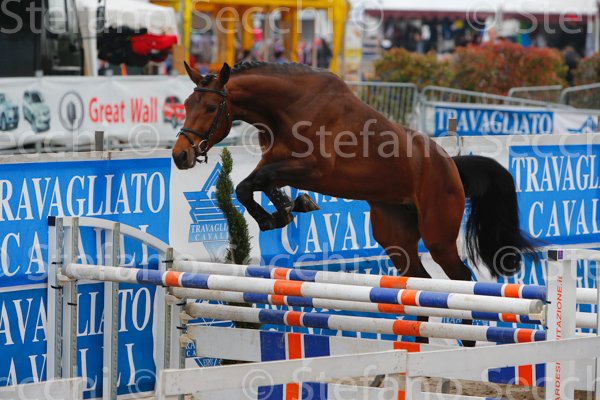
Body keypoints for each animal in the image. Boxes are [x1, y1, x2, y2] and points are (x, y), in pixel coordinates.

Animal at [172, 61, 535, 344]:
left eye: (210, 108)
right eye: (187, 105)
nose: (180, 156)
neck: (287, 109)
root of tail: (452, 166)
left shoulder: (313, 169)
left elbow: (254, 184)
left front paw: (280, 213)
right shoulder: (273, 163)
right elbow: (250, 187)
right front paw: (287, 210)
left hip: (438, 235)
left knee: (459, 279)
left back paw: (467, 342)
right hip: (395, 235)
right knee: (418, 283)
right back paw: (416, 343)